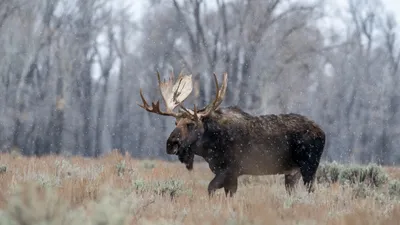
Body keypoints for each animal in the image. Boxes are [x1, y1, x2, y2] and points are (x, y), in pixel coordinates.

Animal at [138, 71, 324, 196]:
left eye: (191, 124)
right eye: (175, 123)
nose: (171, 144)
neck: (209, 148)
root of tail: (322, 132)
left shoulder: (231, 170)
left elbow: (210, 189)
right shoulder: (226, 174)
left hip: (309, 167)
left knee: (312, 190)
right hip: (292, 173)